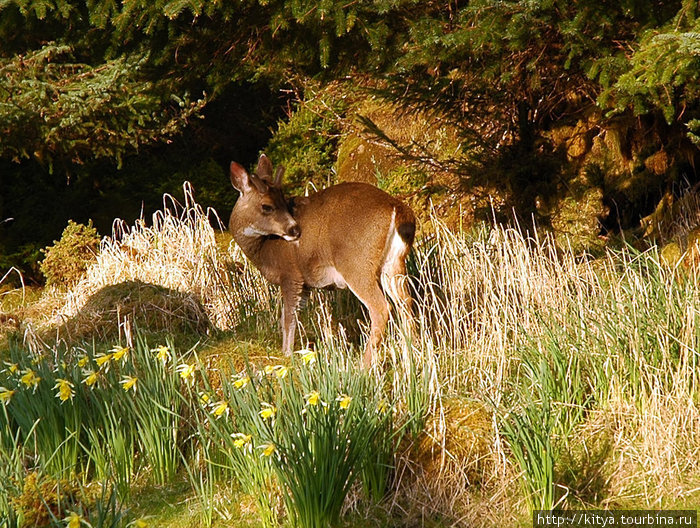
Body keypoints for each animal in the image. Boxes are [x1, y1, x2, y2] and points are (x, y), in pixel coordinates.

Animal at [230, 153, 416, 368]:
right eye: (266, 206)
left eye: (283, 202)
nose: (295, 229)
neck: (264, 249)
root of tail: (397, 209)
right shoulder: (305, 284)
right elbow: (293, 316)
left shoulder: (291, 274)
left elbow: (287, 317)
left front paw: (286, 354)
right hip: (394, 263)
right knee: (406, 302)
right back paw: (412, 358)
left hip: (356, 264)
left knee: (381, 308)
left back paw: (364, 366)